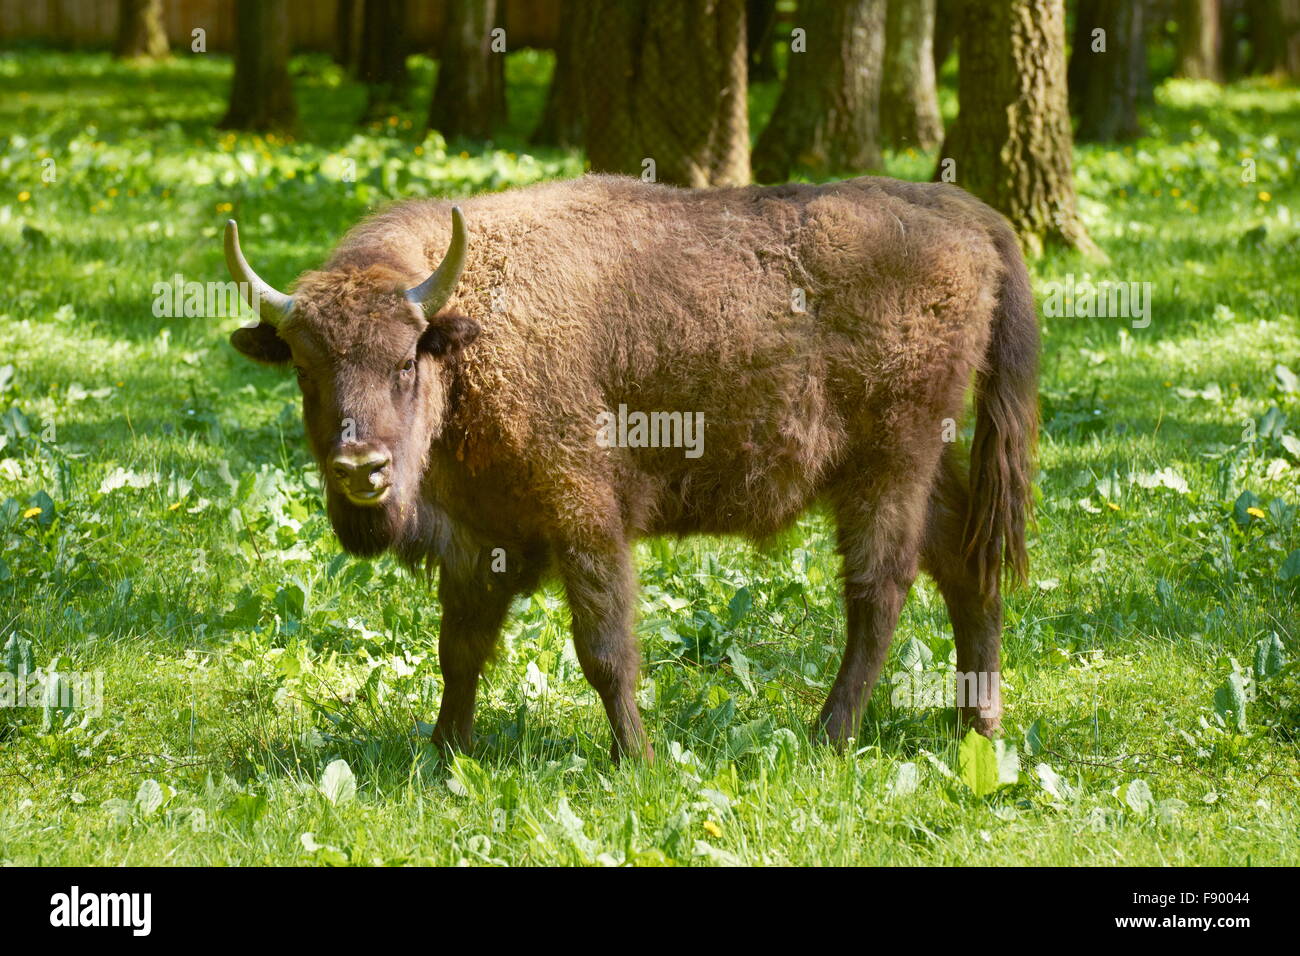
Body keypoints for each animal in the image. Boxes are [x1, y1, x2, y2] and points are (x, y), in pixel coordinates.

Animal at [223, 174, 1034, 764]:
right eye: (305, 371)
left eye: (403, 361)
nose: (362, 467)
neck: (470, 333)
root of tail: (969, 216)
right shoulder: (479, 538)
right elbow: (460, 649)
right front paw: (445, 752)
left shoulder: (584, 518)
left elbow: (604, 649)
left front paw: (636, 759)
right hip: (925, 464)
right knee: (968, 564)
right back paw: (977, 725)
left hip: (887, 465)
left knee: (881, 589)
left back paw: (828, 736)